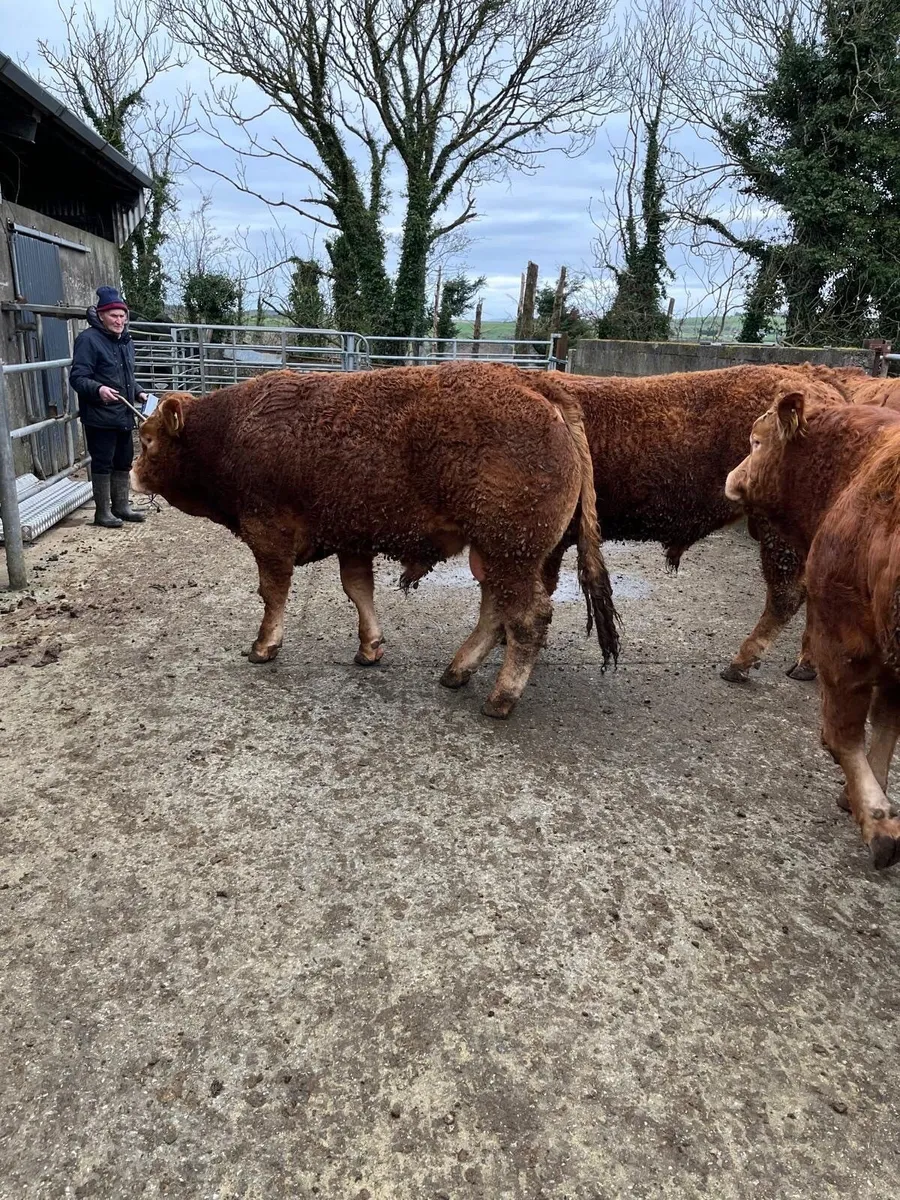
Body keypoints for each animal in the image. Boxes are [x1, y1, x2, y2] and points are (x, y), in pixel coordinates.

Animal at [130, 363, 619, 719]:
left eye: (148, 439)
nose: (131, 472)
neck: (228, 431)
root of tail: (534, 382)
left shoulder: (268, 534)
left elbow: (273, 593)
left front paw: (264, 646)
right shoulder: (352, 538)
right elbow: (357, 589)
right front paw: (370, 647)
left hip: (512, 551)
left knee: (527, 618)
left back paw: (500, 699)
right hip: (498, 553)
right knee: (496, 610)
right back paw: (457, 671)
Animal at [725, 391, 900, 869]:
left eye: (757, 441)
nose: (731, 479)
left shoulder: (844, 636)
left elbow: (842, 734)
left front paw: (877, 823)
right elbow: (885, 726)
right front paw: (860, 799)